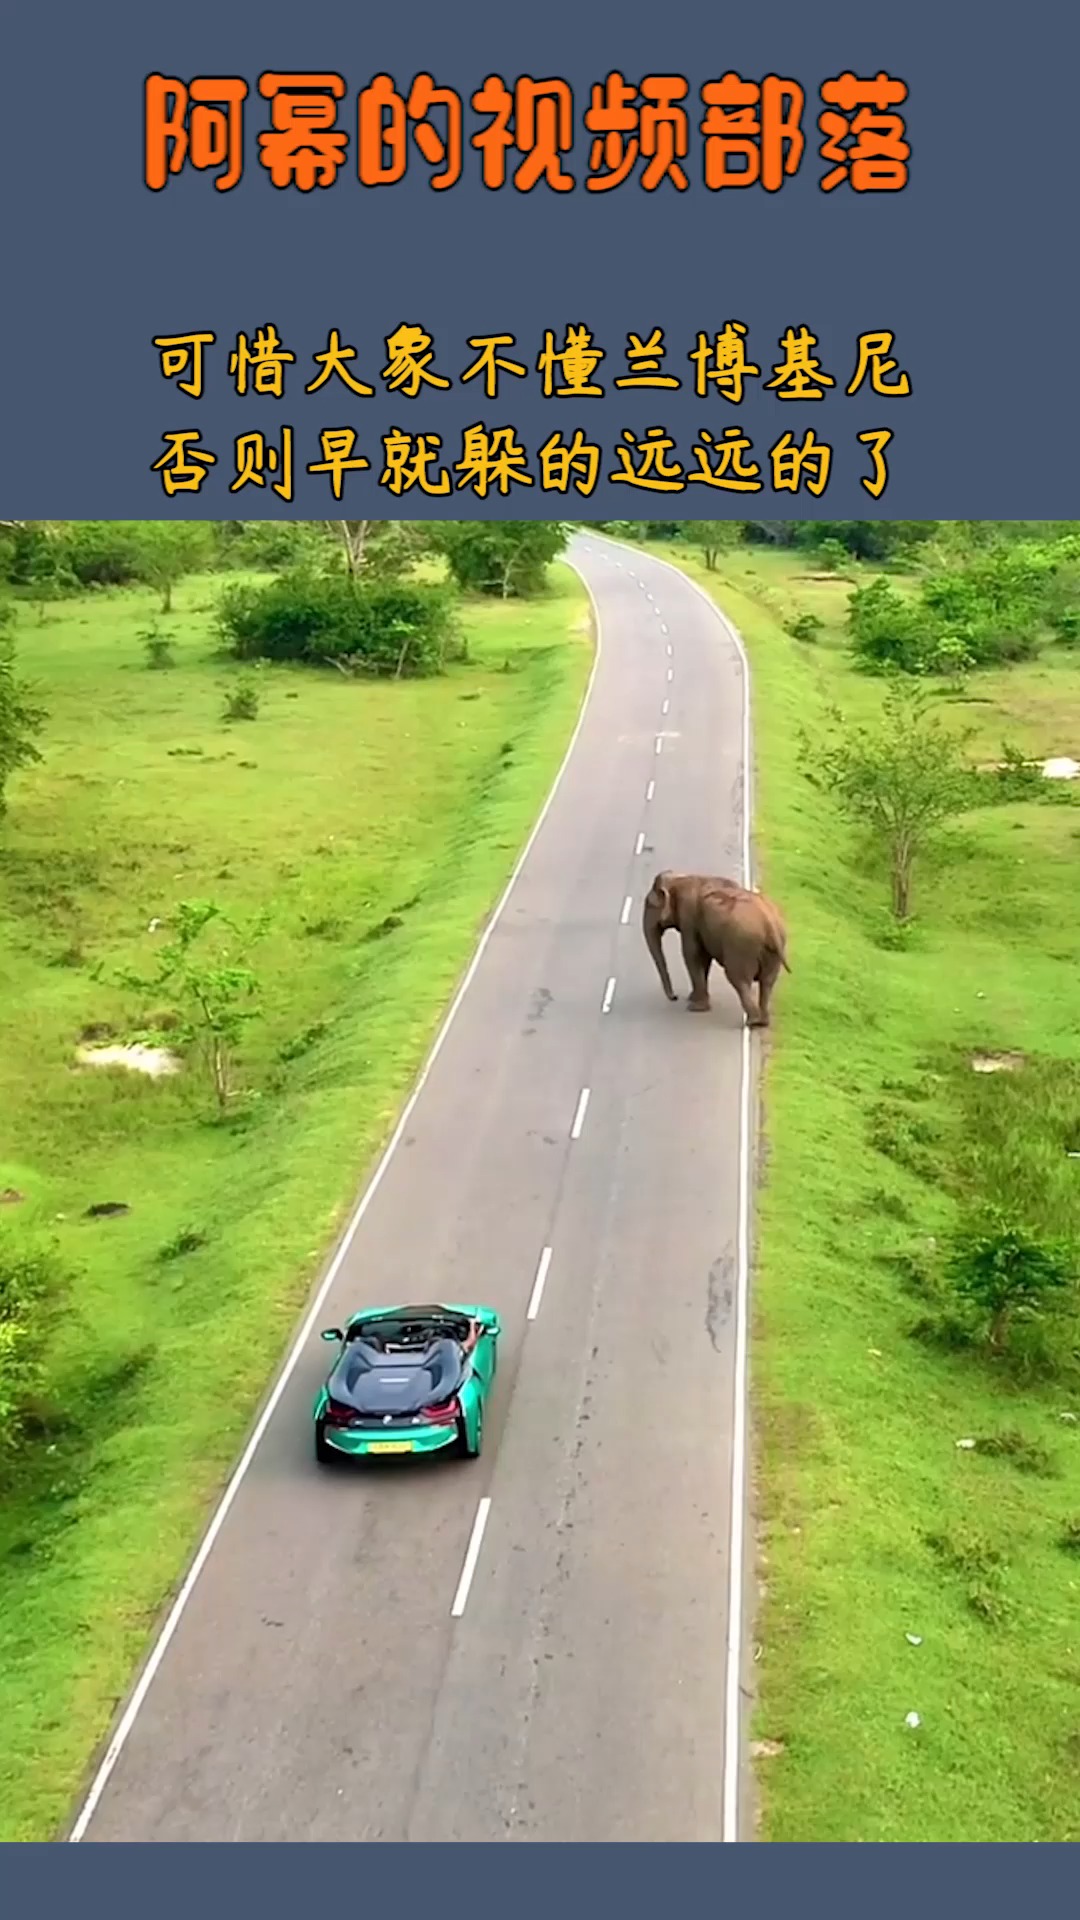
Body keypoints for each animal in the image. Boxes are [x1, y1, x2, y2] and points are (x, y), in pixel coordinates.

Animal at [642, 871, 791, 1028]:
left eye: (649, 904)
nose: (675, 997)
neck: (681, 877)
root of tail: (770, 924)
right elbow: (704, 958)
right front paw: (693, 998)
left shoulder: (689, 915)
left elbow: (692, 954)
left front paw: (695, 1007)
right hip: (773, 950)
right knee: (767, 982)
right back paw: (762, 1022)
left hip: (741, 946)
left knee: (738, 978)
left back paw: (752, 1021)